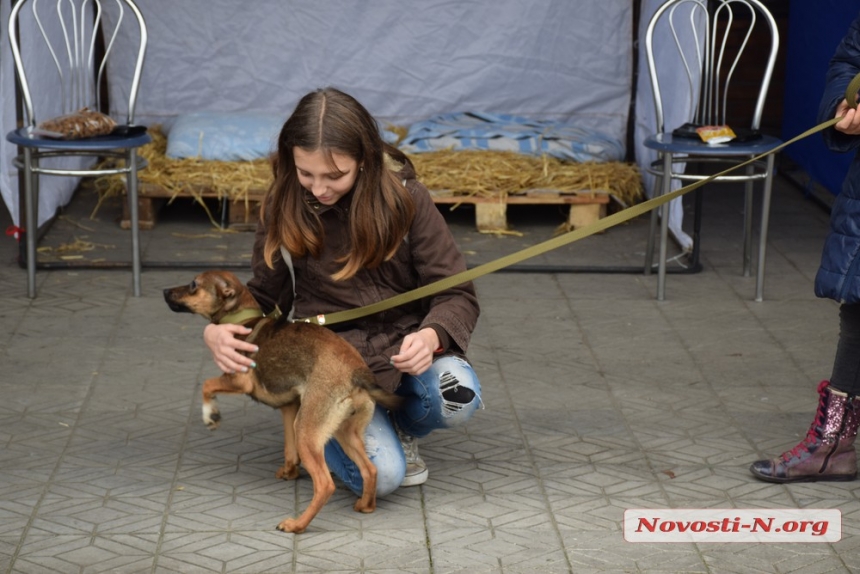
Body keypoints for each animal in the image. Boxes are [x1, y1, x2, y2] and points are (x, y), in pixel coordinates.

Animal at [164, 272, 400, 536]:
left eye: (193, 285)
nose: (164, 292)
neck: (241, 319)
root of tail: (357, 373)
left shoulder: (238, 380)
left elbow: (206, 385)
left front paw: (210, 414)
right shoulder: (289, 408)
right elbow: (289, 450)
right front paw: (289, 471)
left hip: (308, 431)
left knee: (325, 485)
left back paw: (296, 524)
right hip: (343, 431)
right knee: (370, 469)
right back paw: (365, 506)